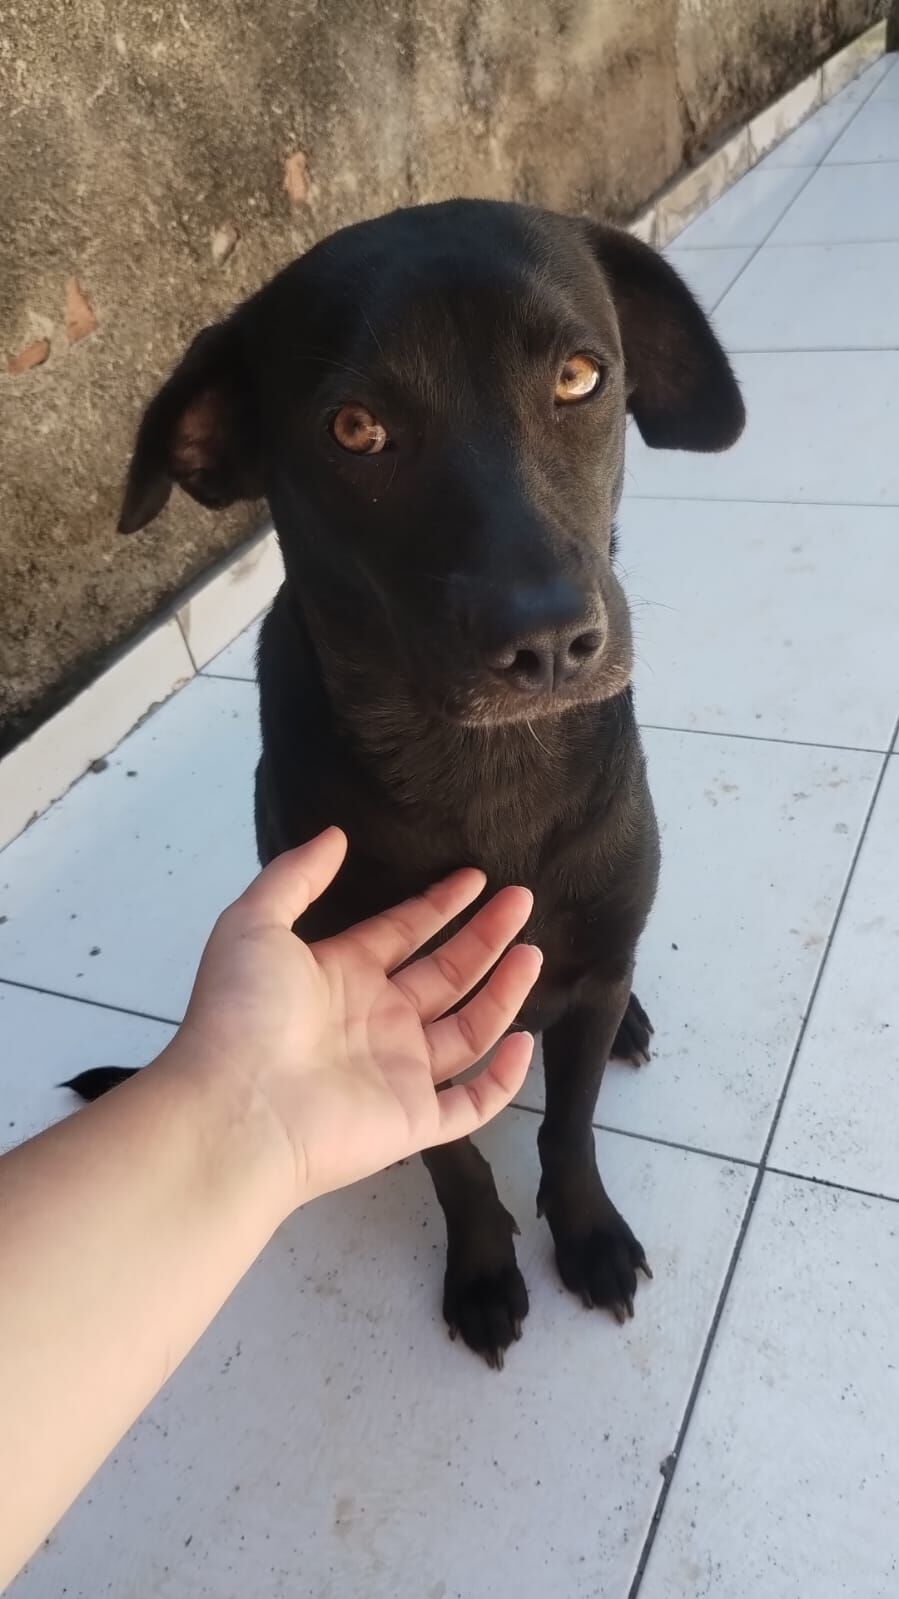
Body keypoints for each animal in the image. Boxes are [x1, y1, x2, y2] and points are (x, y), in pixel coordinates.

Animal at [70, 200, 744, 1368]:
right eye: (354, 430)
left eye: (579, 376)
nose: (549, 642)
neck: (484, 771)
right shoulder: (399, 1019)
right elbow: (453, 1160)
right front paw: (480, 1269)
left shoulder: (584, 971)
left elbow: (566, 1127)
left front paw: (587, 1232)